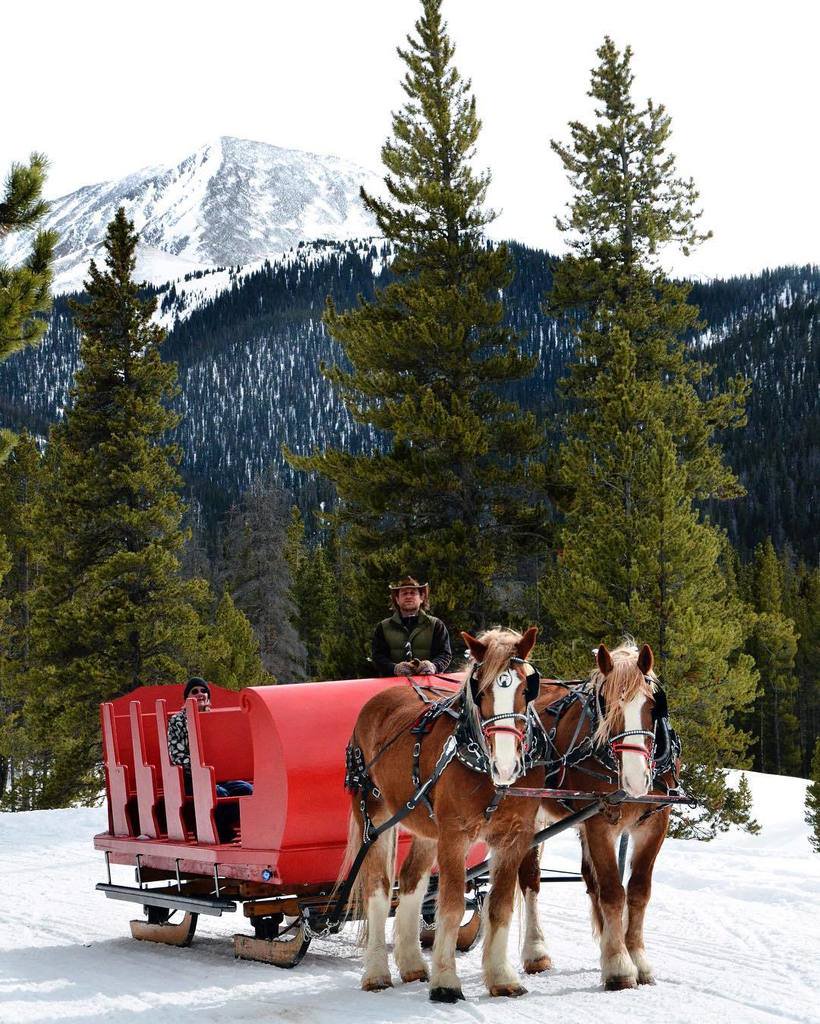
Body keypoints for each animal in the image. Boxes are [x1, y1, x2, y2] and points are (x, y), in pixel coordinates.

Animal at [340, 626, 545, 1002]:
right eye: (481, 690)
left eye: (528, 688)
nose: (506, 765)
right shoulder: (454, 836)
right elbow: (450, 905)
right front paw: (446, 982)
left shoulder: (514, 837)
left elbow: (499, 906)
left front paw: (502, 977)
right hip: (373, 816)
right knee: (378, 889)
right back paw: (377, 973)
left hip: (424, 826)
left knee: (410, 881)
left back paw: (411, 964)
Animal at [517, 641, 679, 990]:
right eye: (606, 706)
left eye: (652, 706)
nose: (635, 779)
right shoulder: (598, 823)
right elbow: (613, 893)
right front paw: (619, 966)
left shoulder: (654, 826)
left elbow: (638, 892)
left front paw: (635, 958)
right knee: (530, 879)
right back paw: (536, 952)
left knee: (590, 881)